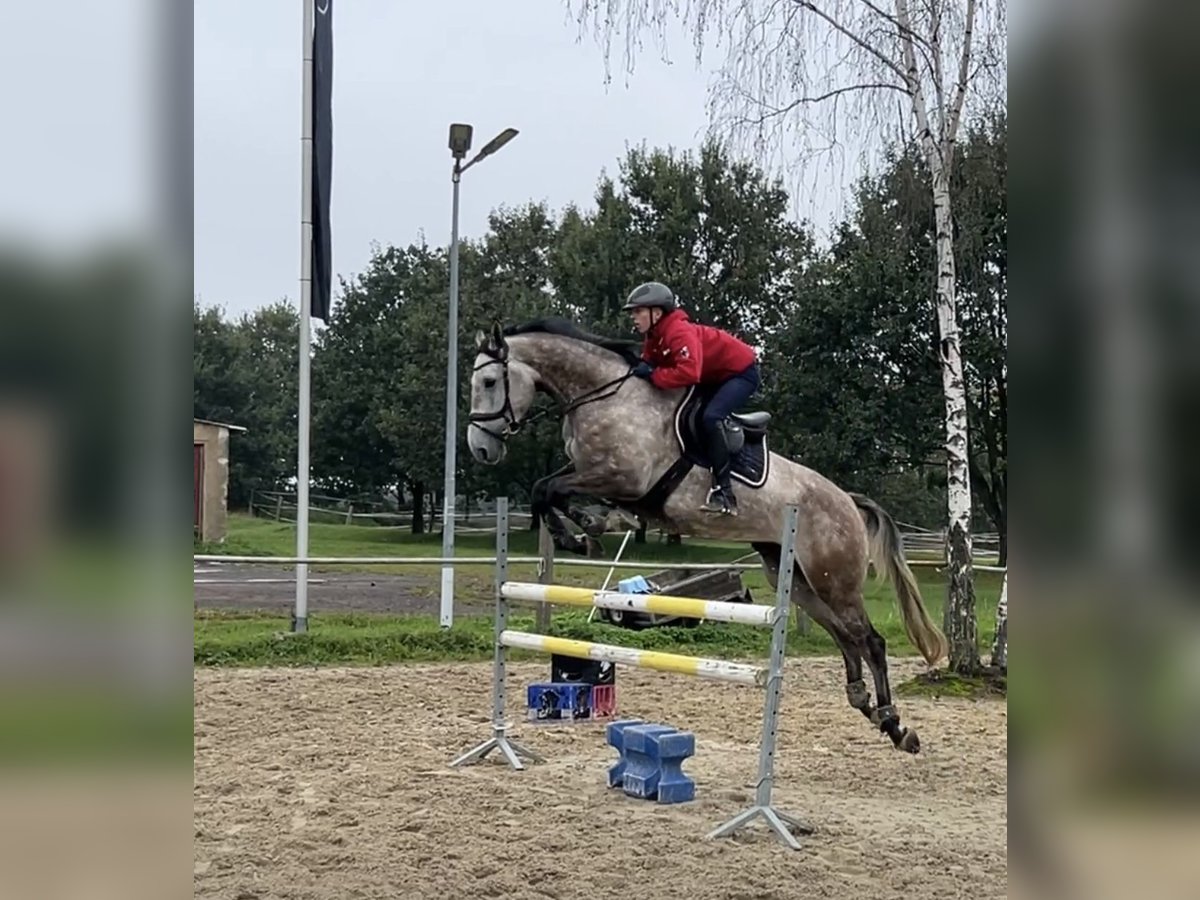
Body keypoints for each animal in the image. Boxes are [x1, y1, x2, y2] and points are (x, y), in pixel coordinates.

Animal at [465, 319, 945, 753]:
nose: (480, 450)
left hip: (835, 579)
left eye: (488, 381)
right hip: (797, 580)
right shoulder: (596, 474)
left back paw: (895, 725)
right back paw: (869, 708)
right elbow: (546, 491)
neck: (606, 394)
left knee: (870, 641)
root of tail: (847, 500)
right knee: (846, 637)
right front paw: (589, 531)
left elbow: (548, 490)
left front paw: (584, 534)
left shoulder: (621, 477)